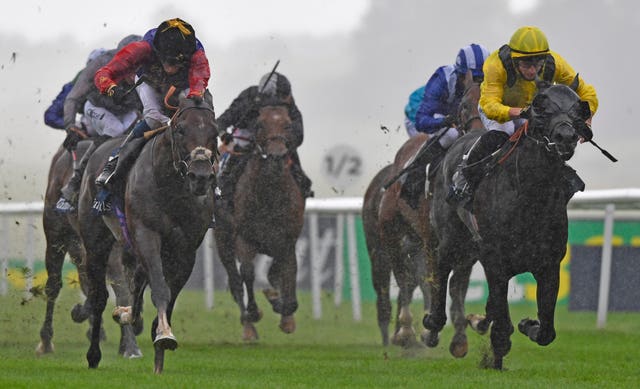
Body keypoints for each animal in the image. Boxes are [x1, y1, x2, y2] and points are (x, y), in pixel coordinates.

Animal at [76, 95, 218, 372]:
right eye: (180, 129)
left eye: (214, 132)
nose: (201, 176)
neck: (172, 188)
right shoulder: (146, 234)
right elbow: (160, 289)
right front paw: (164, 334)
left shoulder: (186, 249)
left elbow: (169, 296)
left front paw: (159, 351)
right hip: (96, 241)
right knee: (99, 297)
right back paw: (93, 355)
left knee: (136, 283)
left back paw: (128, 314)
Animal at [215, 103, 304, 340]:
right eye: (260, 124)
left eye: (288, 125)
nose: (276, 156)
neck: (269, 193)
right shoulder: (244, 238)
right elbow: (247, 273)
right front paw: (255, 312)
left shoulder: (287, 241)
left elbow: (287, 273)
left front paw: (283, 311)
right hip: (223, 239)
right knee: (236, 281)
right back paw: (248, 327)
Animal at [424, 81, 592, 366]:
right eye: (540, 107)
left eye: (578, 109)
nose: (565, 137)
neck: (528, 196)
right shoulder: (495, 262)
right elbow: (502, 325)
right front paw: (497, 351)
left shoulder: (549, 264)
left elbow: (547, 331)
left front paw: (527, 325)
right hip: (450, 236)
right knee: (441, 265)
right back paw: (433, 323)